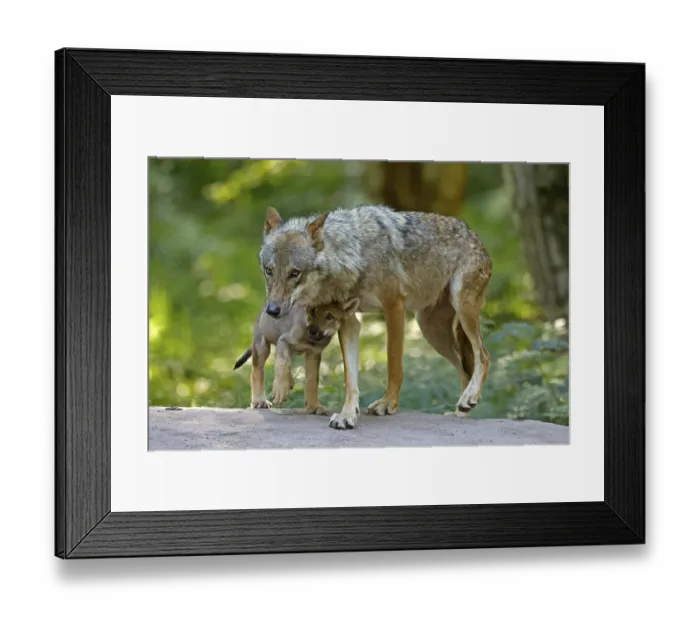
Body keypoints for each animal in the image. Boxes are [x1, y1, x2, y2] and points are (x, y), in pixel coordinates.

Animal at [259, 204, 493, 430]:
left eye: (294, 273)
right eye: (269, 271)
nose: (272, 310)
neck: (356, 255)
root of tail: (474, 234)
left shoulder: (394, 307)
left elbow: (393, 364)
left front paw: (388, 404)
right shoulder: (349, 322)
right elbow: (350, 378)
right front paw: (347, 415)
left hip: (461, 310)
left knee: (484, 356)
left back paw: (469, 398)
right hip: (430, 329)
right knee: (464, 369)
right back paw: (461, 409)